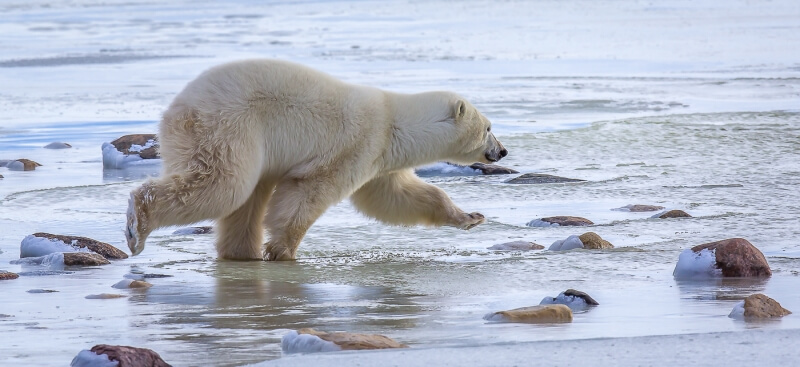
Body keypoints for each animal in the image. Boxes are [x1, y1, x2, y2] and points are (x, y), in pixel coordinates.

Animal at [128, 59, 510, 262]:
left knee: (244, 198)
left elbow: (394, 196)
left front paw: (470, 217)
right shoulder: (357, 143)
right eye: (489, 128)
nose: (503, 150)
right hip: (229, 127)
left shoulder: (380, 156)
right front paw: (284, 250)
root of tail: (176, 110)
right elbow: (308, 192)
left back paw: (240, 253)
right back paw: (137, 225)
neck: (395, 121)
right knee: (224, 185)